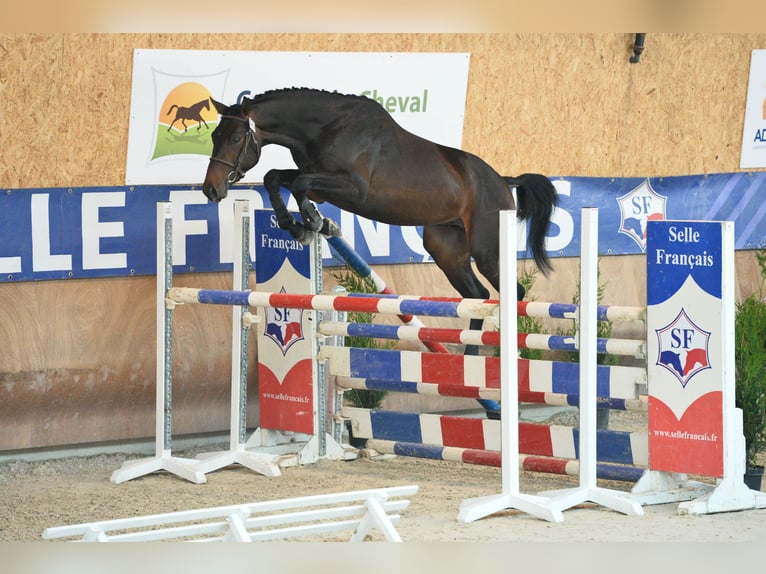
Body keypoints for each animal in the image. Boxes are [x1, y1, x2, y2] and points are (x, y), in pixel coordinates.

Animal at [201, 89, 560, 306]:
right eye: (214, 135)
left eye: (235, 138)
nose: (211, 189)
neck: (327, 128)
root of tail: (503, 181)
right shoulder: (318, 181)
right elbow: (276, 177)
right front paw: (297, 225)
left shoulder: (352, 188)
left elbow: (299, 183)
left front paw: (313, 224)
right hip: (447, 249)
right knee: (477, 295)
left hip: (488, 251)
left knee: (512, 293)